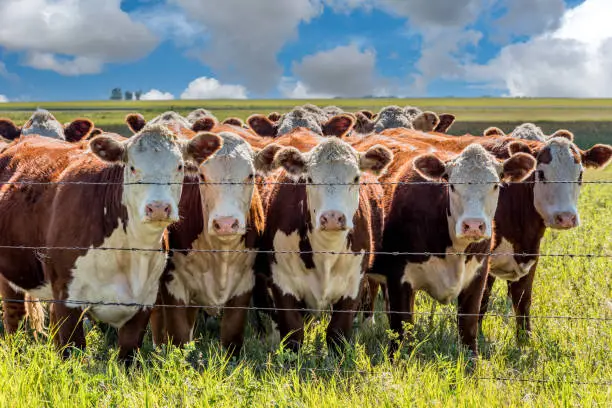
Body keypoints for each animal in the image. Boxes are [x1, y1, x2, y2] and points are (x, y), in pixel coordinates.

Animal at [151, 131, 280, 354]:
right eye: (202, 176)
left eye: (250, 175)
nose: (226, 223)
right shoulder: (172, 284)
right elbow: (178, 336)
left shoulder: (244, 284)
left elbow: (231, 336)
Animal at [256, 136, 392, 350]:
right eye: (310, 179)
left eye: (355, 178)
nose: (333, 217)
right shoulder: (282, 282)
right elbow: (293, 333)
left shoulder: (353, 283)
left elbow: (337, 333)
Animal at [368, 143, 536, 356]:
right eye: (453, 185)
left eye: (496, 185)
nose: (473, 225)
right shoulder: (399, 280)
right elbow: (401, 334)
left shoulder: (477, 277)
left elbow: (469, 328)